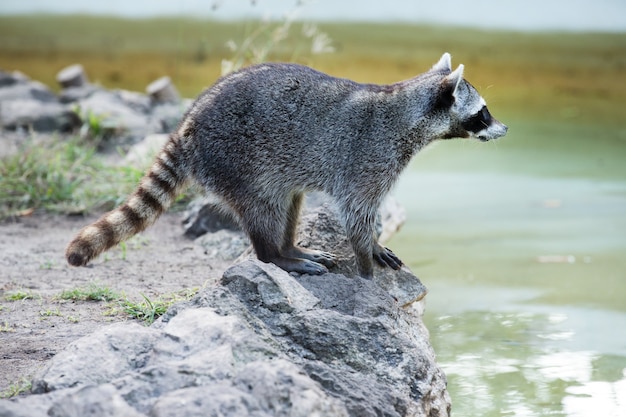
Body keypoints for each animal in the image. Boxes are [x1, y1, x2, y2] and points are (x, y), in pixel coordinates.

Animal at [66, 52, 504, 280]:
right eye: (483, 113)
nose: (505, 128)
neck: (407, 110)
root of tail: (188, 122)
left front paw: (374, 248)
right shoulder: (368, 159)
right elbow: (357, 213)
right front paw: (366, 265)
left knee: (290, 202)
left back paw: (289, 245)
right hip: (236, 161)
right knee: (264, 208)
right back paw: (274, 255)